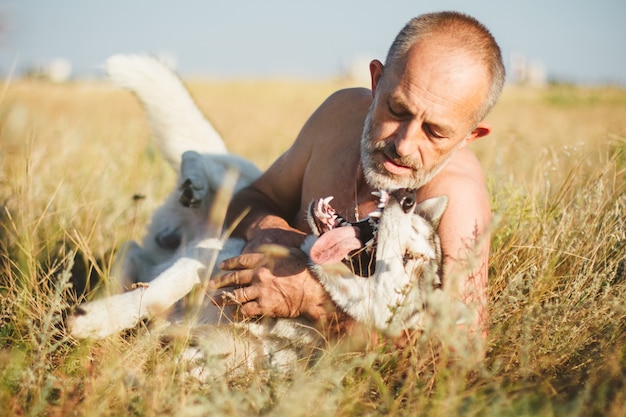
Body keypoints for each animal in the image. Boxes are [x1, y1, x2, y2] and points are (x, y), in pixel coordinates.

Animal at [68, 55, 446, 370]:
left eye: (410, 259)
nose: (408, 197)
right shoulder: (207, 256)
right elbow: (153, 296)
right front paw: (94, 322)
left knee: (132, 252)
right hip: (234, 182)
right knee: (197, 156)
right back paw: (194, 186)